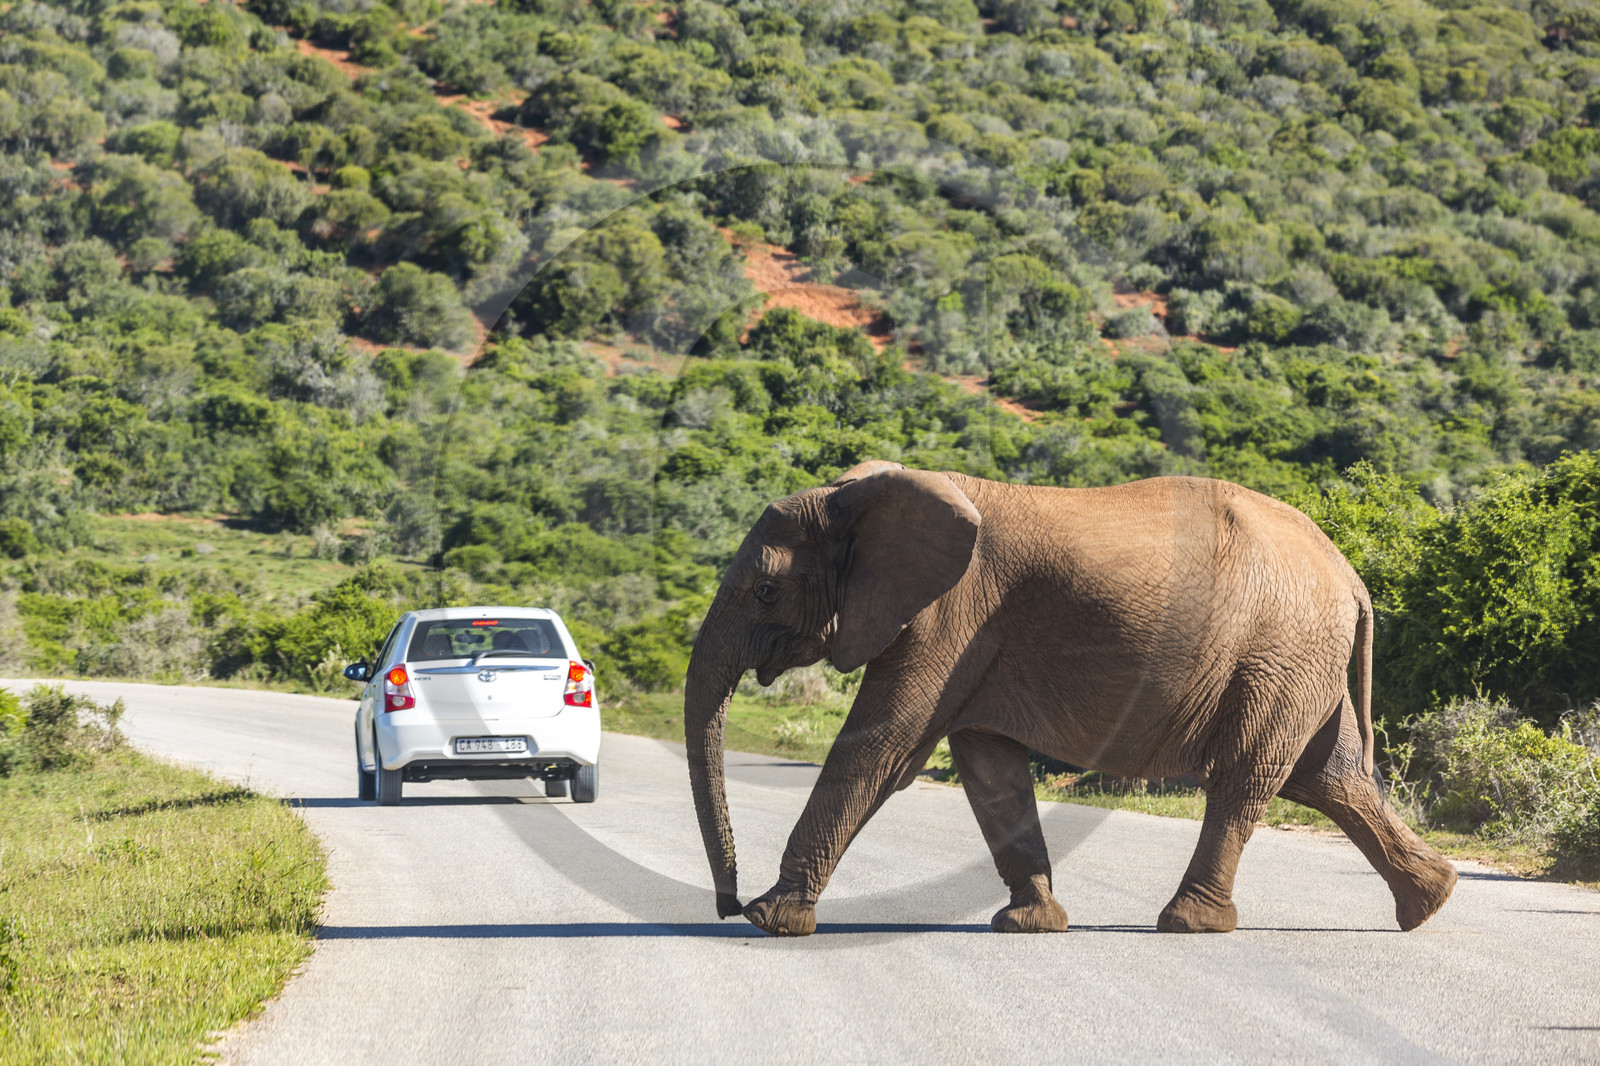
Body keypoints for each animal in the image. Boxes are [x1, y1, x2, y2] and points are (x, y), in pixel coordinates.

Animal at [684, 460, 1458, 937]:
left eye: (766, 590)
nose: (724, 905)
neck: (864, 496)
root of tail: (1351, 576)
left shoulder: (950, 614)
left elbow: (879, 748)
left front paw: (769, 920)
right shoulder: (972, 635)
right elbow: (989, 770)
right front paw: (1029, 925)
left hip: (1279, 650)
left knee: (1249, 777)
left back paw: (1188, 924)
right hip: (1301, 658)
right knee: (1330, 778)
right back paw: (1432, 901)